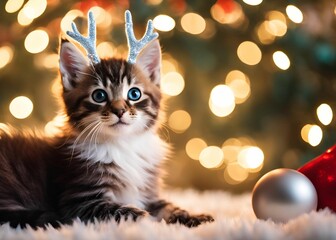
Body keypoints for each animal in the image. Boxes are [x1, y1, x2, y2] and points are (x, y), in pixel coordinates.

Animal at [0, 38, 214, 228]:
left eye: (134, 94)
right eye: (99, 95)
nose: (119, 110)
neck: (122, 145)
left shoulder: (148, 193)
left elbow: (168, 206)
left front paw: (194, 217)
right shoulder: (79, 200)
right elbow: (125, 211)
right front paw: (148, 220)